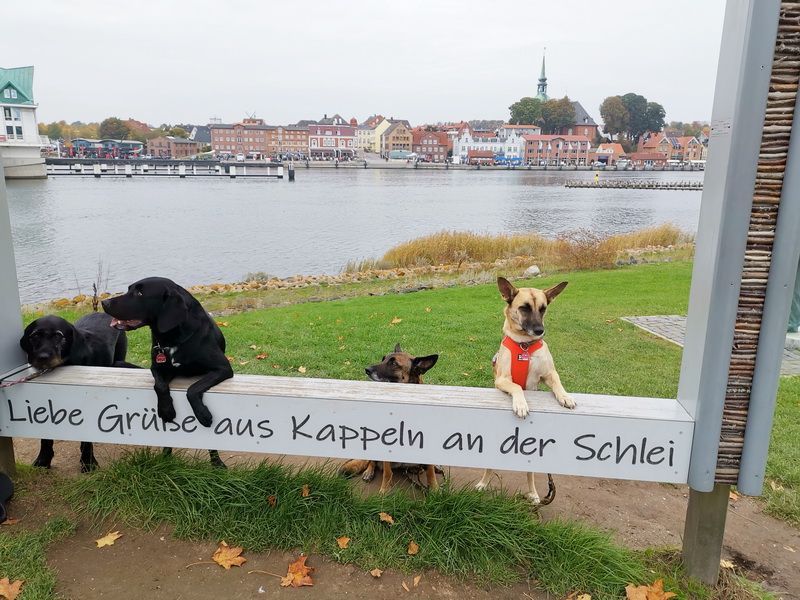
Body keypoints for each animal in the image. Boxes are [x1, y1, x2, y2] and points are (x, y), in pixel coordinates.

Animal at [101, 277, 233, 468]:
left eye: (140, 292)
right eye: (129, 289)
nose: (104, 302)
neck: (173, 339)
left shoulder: (223, 368)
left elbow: (192, 389)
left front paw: (202, 414)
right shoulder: (157, 368)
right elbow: (159, 386)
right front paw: (166, 410)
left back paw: (217, 463)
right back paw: (165, 457)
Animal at [339, 344, 440, 493]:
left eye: (393, 363)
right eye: (383, 359)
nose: (367, 369)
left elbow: (430, 471)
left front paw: (434, 488)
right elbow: (387, 473)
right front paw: (385, 490)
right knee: (372, 462)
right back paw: (369, 472)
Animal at [474, 277, 575, 504]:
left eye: (543, 308)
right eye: (524, 308)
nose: (539, 330)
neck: (524, 346)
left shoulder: (549, 373)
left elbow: (557, 382)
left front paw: (565, 397)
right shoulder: (502, 379)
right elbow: (516, 386)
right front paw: (521, 404)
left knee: (530, 474)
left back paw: (534, 494)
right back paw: (483, 483)